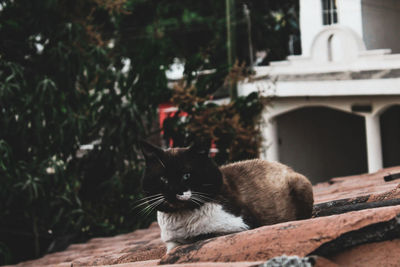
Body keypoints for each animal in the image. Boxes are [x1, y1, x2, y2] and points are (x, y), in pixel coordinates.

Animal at [139, 142, 314, 253]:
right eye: (163, 179)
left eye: (186, 175)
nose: (173, 191)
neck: (182, 220)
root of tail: (287, 168)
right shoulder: (171, 242)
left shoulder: (239, 226)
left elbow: (202, 236)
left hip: (301, 184)